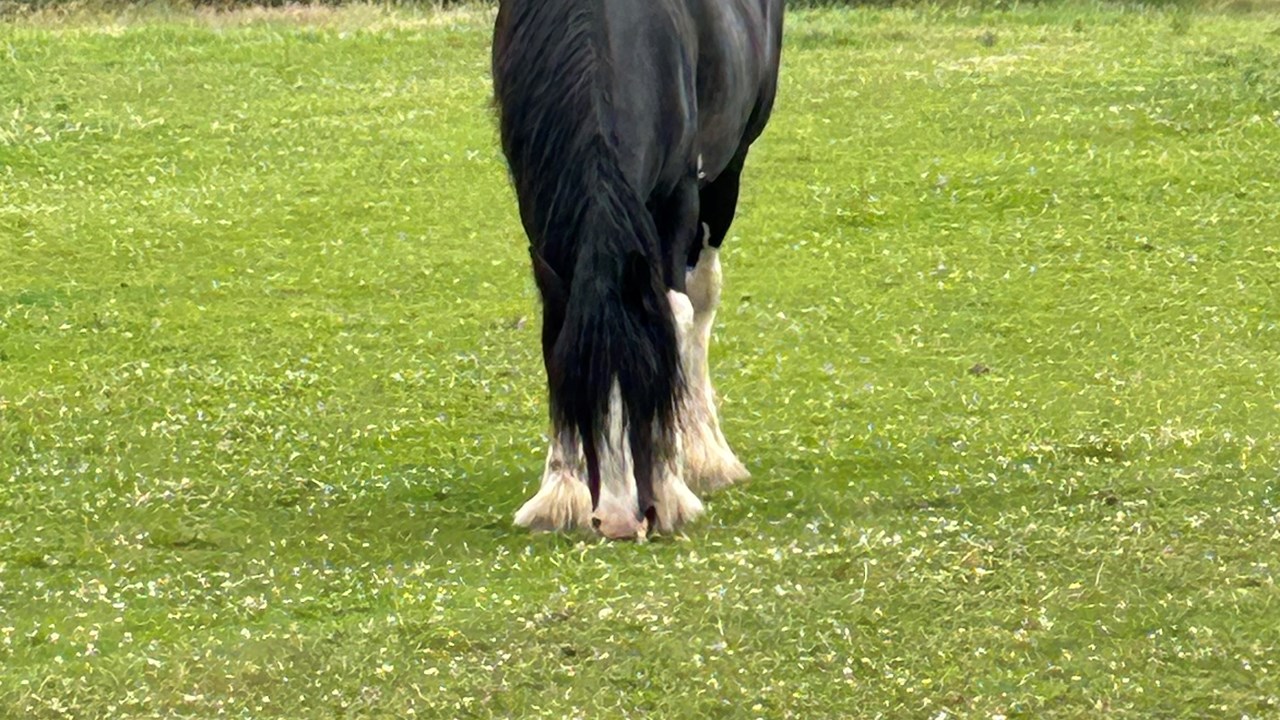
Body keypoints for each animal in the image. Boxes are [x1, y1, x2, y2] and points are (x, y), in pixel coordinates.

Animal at [492, 0, 784, 540]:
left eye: (652, 386)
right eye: (579, 390)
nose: (620, 520)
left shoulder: (678, 197)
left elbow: (678, 315)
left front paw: (671, 488)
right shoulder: (536, 202)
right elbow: (555, 325)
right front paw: (557, 489)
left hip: (728, 173)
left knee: (703, 297)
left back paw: (707, 454)